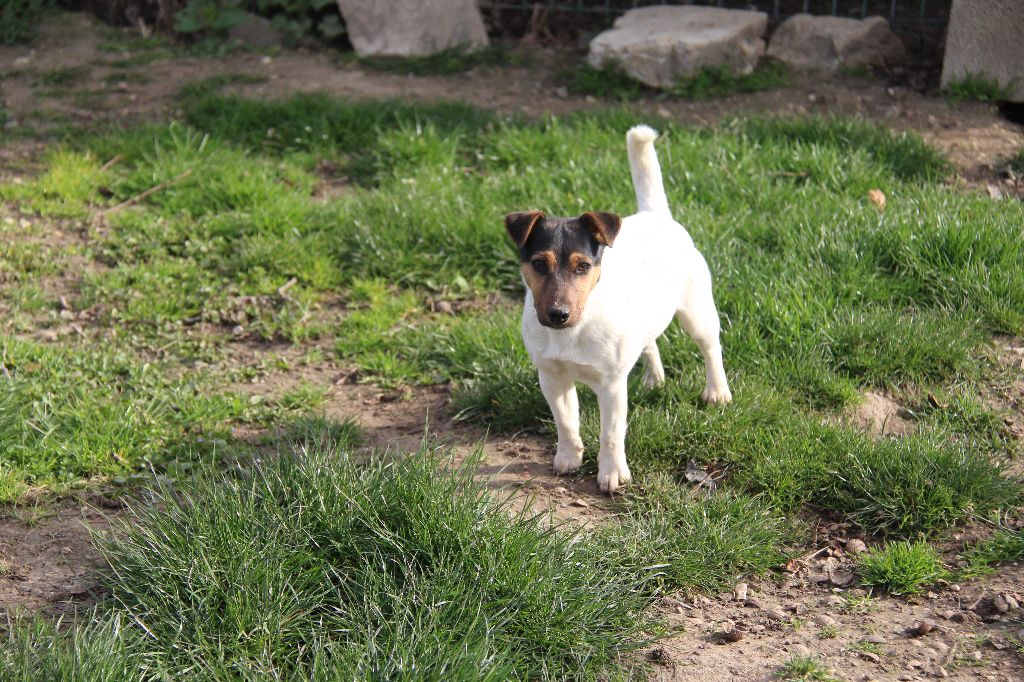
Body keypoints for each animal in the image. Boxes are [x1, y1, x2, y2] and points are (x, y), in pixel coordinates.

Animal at [501, 124, 729, 491]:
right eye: (537, 264)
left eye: (582, 266)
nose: (558, 314)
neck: (573, 330)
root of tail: (655, 215)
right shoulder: (552, 377)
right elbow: (566, 421)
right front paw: (568, 458)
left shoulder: (610, 385)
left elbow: (610, 433)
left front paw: (612, 474)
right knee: (649, 342)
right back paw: (654, 379)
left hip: (697, 312)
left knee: (711, 348)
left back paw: (717, 392)